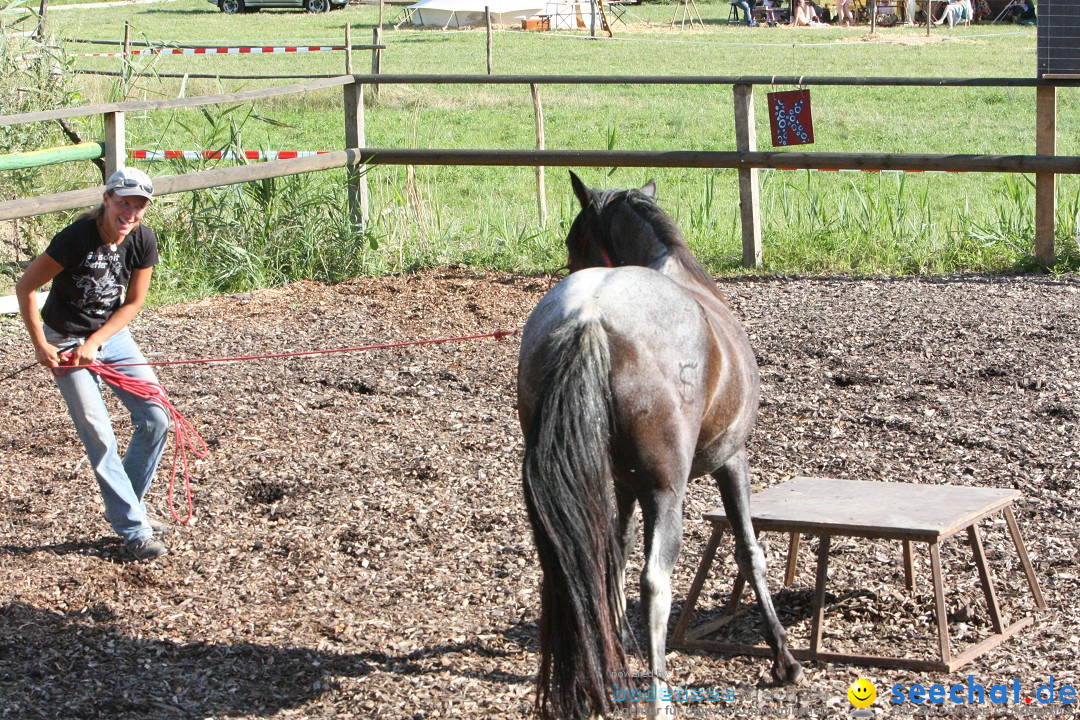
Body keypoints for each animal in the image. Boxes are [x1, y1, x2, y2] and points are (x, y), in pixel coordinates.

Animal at [514, 174, 803, 720]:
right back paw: (659, 697)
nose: (571, 264)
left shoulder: (624, 484)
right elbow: (748, 551)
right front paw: (784, 658)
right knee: (656, 584)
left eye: (574, 242)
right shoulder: (732, 460)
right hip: (669, 492)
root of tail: (590, 314)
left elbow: (617, 552)